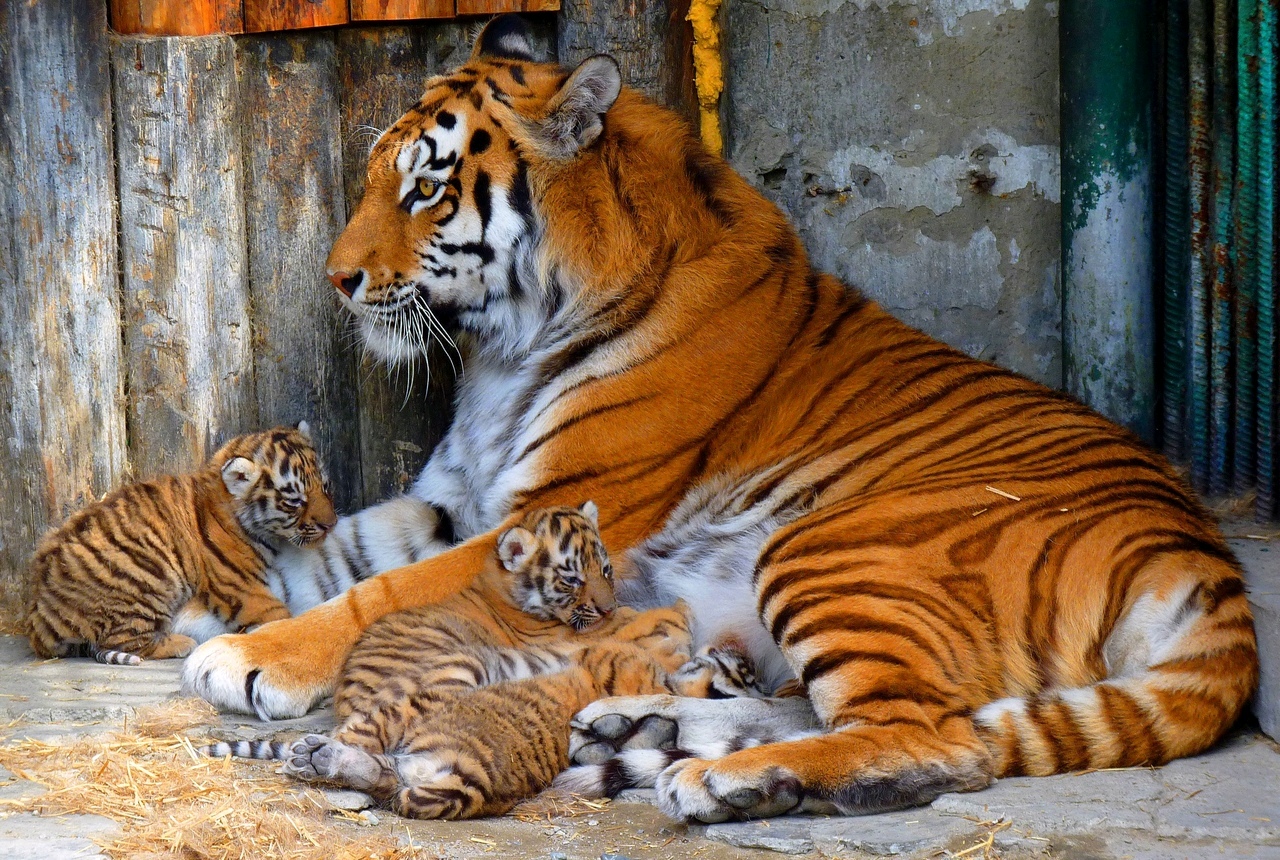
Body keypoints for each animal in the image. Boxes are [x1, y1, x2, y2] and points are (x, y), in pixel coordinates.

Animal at [180, 13, 1259, 819]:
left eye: (424, 188)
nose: (337, 279)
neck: (503, 346)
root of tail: (1203, 559)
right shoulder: (452, 495)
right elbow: (337, 554)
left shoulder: (554, 510)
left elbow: (379, 592)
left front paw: (245, 659)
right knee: (822, 709)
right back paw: (642, 731)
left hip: (837, 546)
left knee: (937, 740)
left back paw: (723, 783)